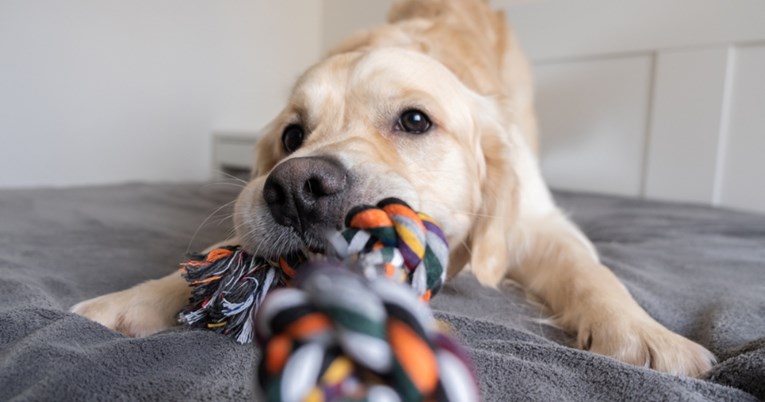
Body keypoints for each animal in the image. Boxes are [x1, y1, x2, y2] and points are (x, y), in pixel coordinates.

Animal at [70, 0, 712, 376]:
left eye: (416, 120)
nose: (296, 188)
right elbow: (213, 260)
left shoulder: (536, 221)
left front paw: (642, 334)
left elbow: (590, 272)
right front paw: (132, 301)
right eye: (292, 134)